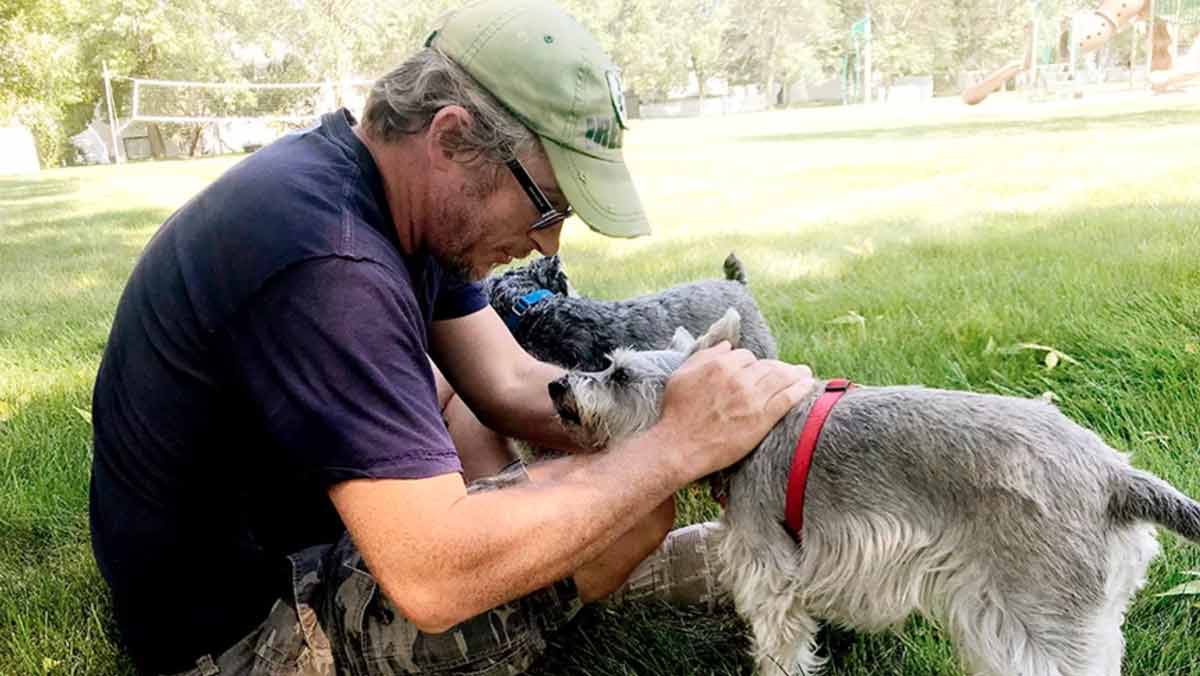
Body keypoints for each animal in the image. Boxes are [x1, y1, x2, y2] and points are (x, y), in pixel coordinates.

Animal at [547, 309, 1200, 672]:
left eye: (619, 374)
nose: (556, 386)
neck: (753, 437)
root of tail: (1114, 476)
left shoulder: (772, 586)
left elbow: (780, 654)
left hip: (1043, 622)